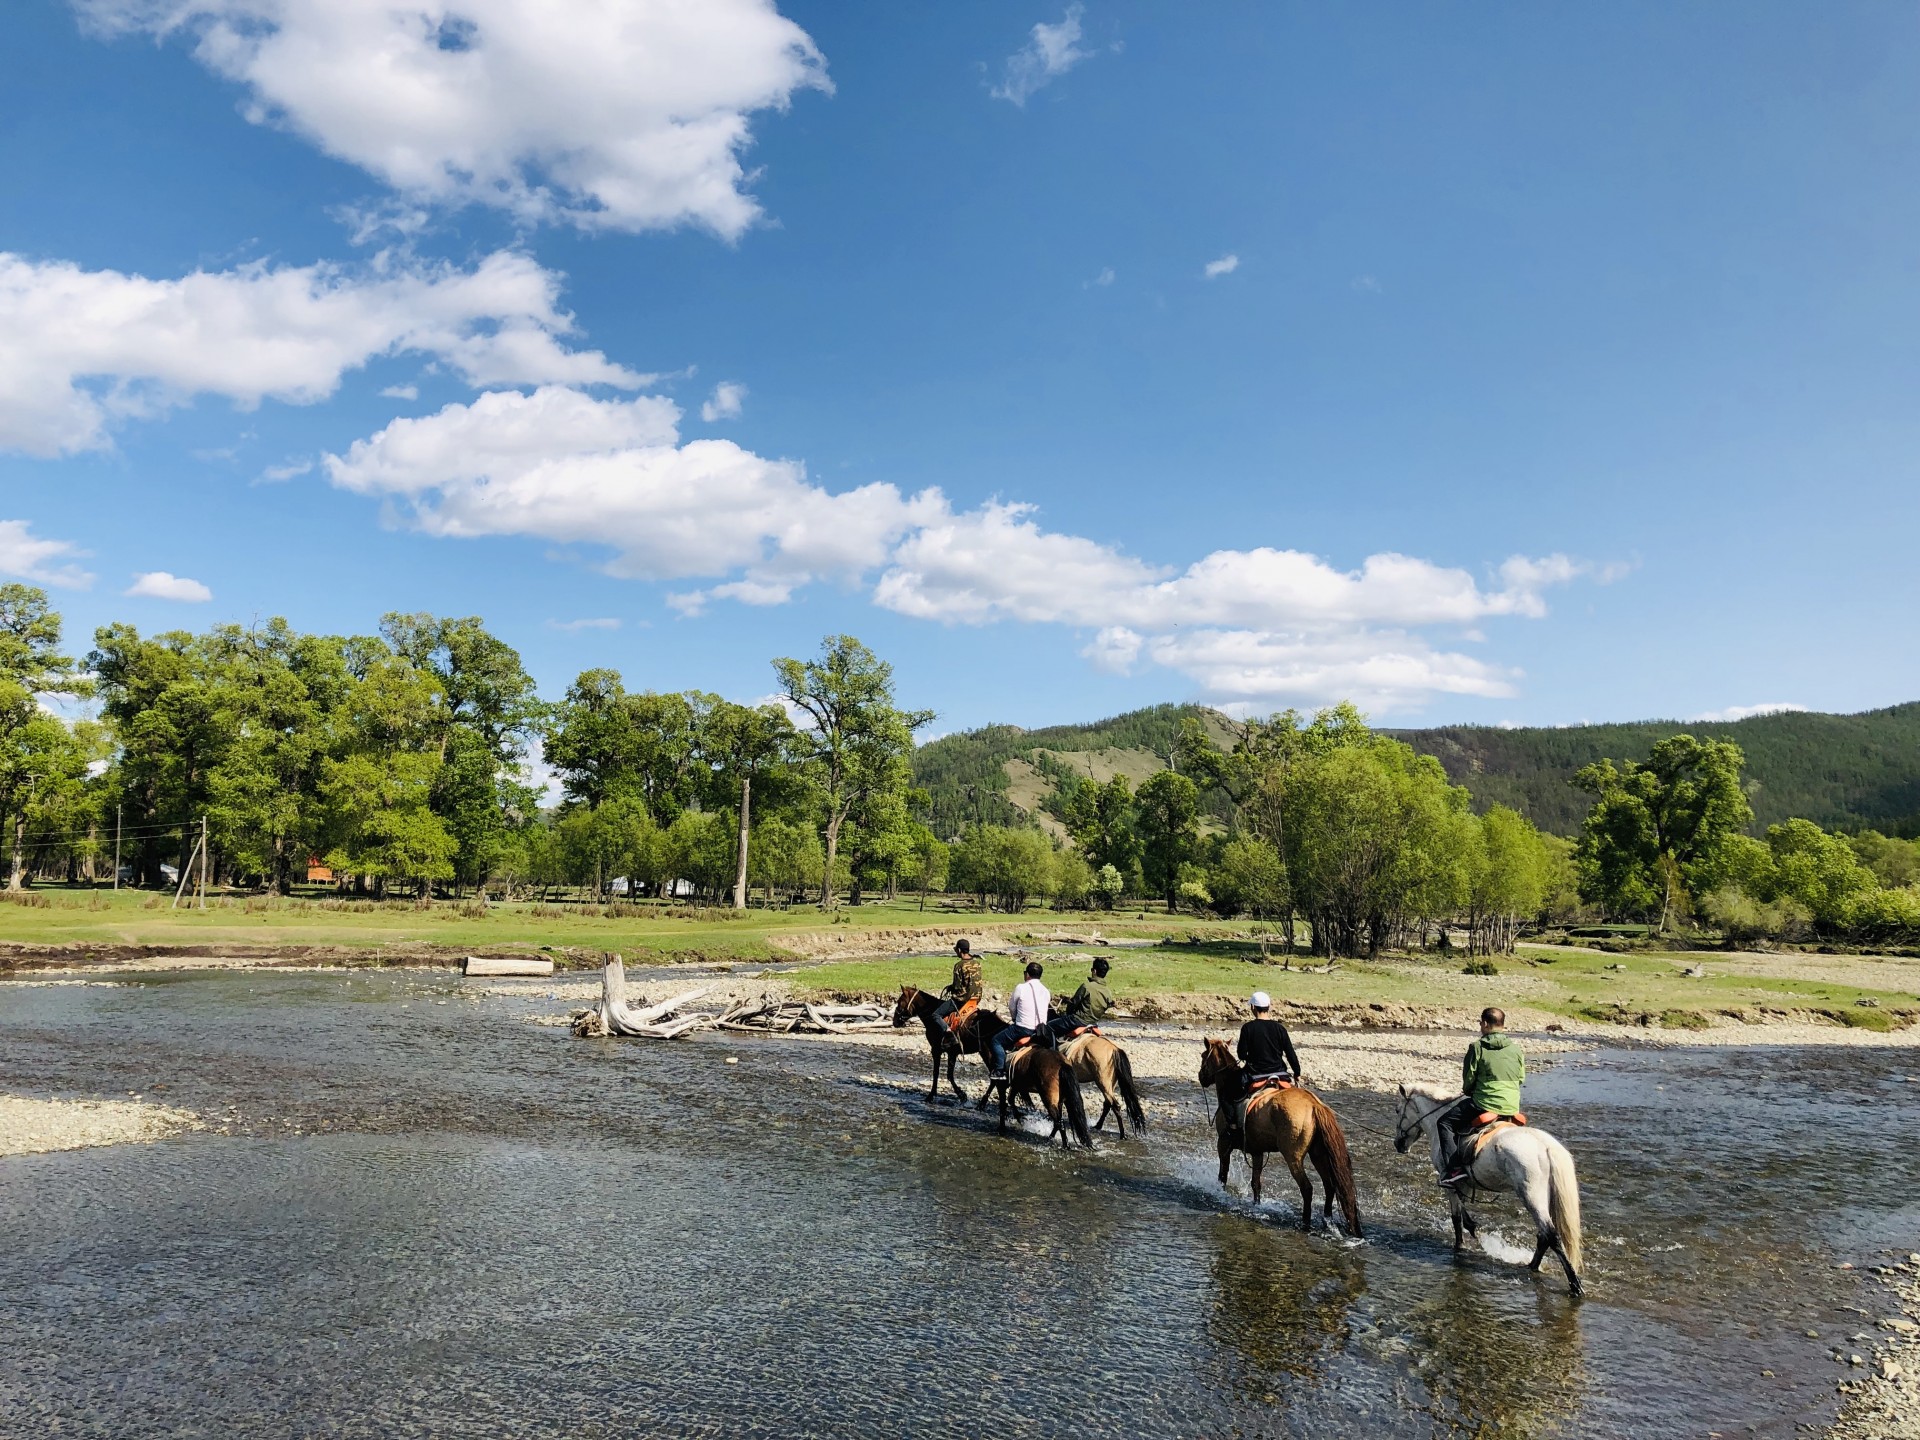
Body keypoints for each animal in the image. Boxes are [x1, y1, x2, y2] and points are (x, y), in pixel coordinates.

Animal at [1198, 1036, 1367, 1244]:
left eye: (1203, 1056)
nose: (1201, 1077)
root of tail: (1314, 1105)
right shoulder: (1257, 1152)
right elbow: (1256, 1183)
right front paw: (1256, 1206)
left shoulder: (1223, 1145)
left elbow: (1223, 1175)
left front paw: (1221, 1195)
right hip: (1318, 1154)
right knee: (1329, 1186)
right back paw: (1326, 1220)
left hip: (1293, 1156)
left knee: (1307, 1188)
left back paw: (1305, 1224)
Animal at [1397, 1090, 1589, 1305]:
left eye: (1398, 1110)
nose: (1398, 1144)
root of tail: (1547, 1147)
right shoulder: (1463, 1185)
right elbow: (1463, 1210)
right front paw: (1471, 1227)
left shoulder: (1449, 1185)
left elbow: (1456, 1217)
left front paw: (1460, 1245)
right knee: (1543, 1236)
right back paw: (1532, 1266)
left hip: (1531, 1195)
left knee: (1551, 1234)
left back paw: (1575, 1285)